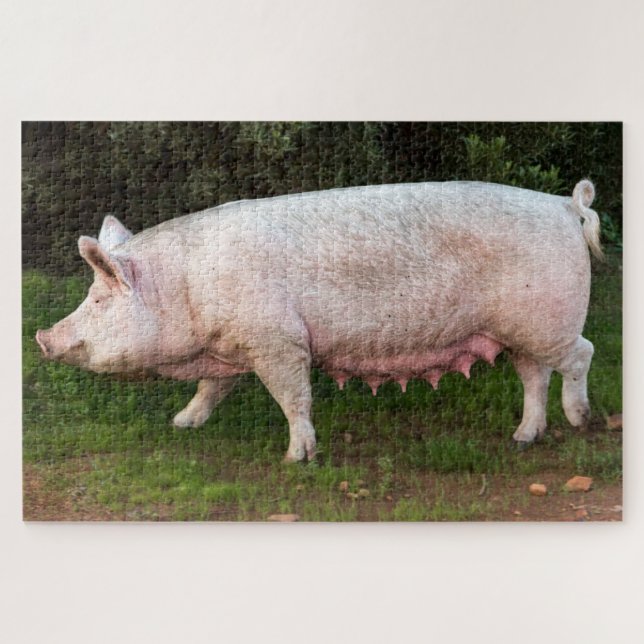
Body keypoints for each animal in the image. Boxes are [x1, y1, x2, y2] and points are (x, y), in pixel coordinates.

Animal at [36, 180, 603, 462]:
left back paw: (581, 421)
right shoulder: (232, 346)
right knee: (534, 374)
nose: (42, 337)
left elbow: (294, 397)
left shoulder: (278, 340)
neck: (188, 287)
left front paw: (297, 458)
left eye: (99, 300)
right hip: (522, 331)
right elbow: (211, 388)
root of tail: (563, 205)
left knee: (582, 354)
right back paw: (523, 438)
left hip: (548, 319)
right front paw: (181, 423)